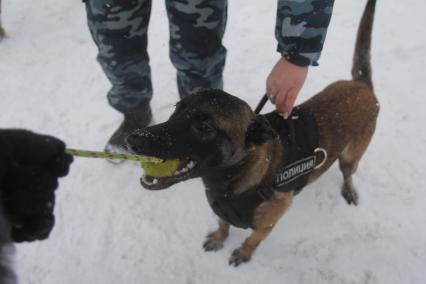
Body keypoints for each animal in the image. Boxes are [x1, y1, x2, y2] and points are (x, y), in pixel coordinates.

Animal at [126, 0, 380, 266]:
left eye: (205, 127)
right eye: (177, 109)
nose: (132, 140)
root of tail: (362, 85)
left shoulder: (268, 222)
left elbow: (252, 240)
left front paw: (243, 253)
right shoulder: (222, 211)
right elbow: (223, 225)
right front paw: (219, 238)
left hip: (351, 157)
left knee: (348, 172)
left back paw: (348, 189)